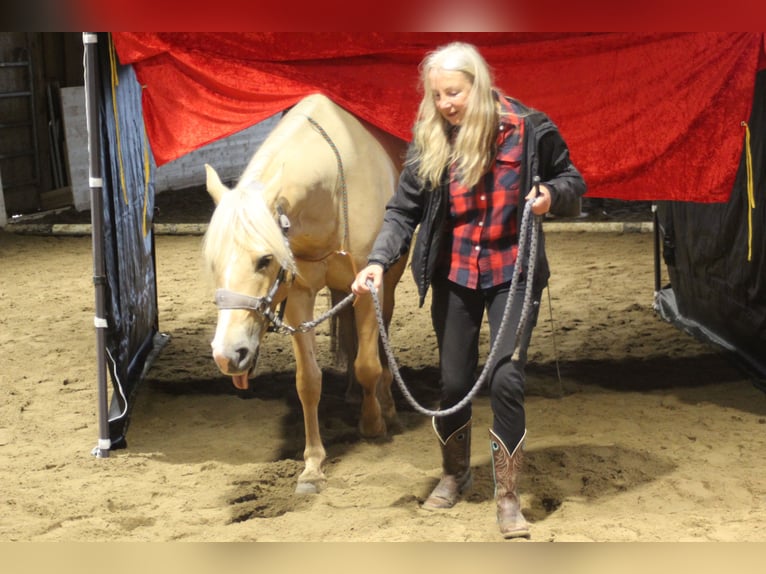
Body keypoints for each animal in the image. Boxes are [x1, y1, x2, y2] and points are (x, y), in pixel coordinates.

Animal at [202, 93, 409, 494]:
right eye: (213, 262)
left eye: (265, 259)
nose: (227, 355)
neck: (333, 194)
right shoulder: (299, 295)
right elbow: (308, 381)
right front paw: (312, 465)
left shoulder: (367, 286)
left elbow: (368, 364)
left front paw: (373, 423)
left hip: (387, 283)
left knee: (381, 336)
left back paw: (387, 402)